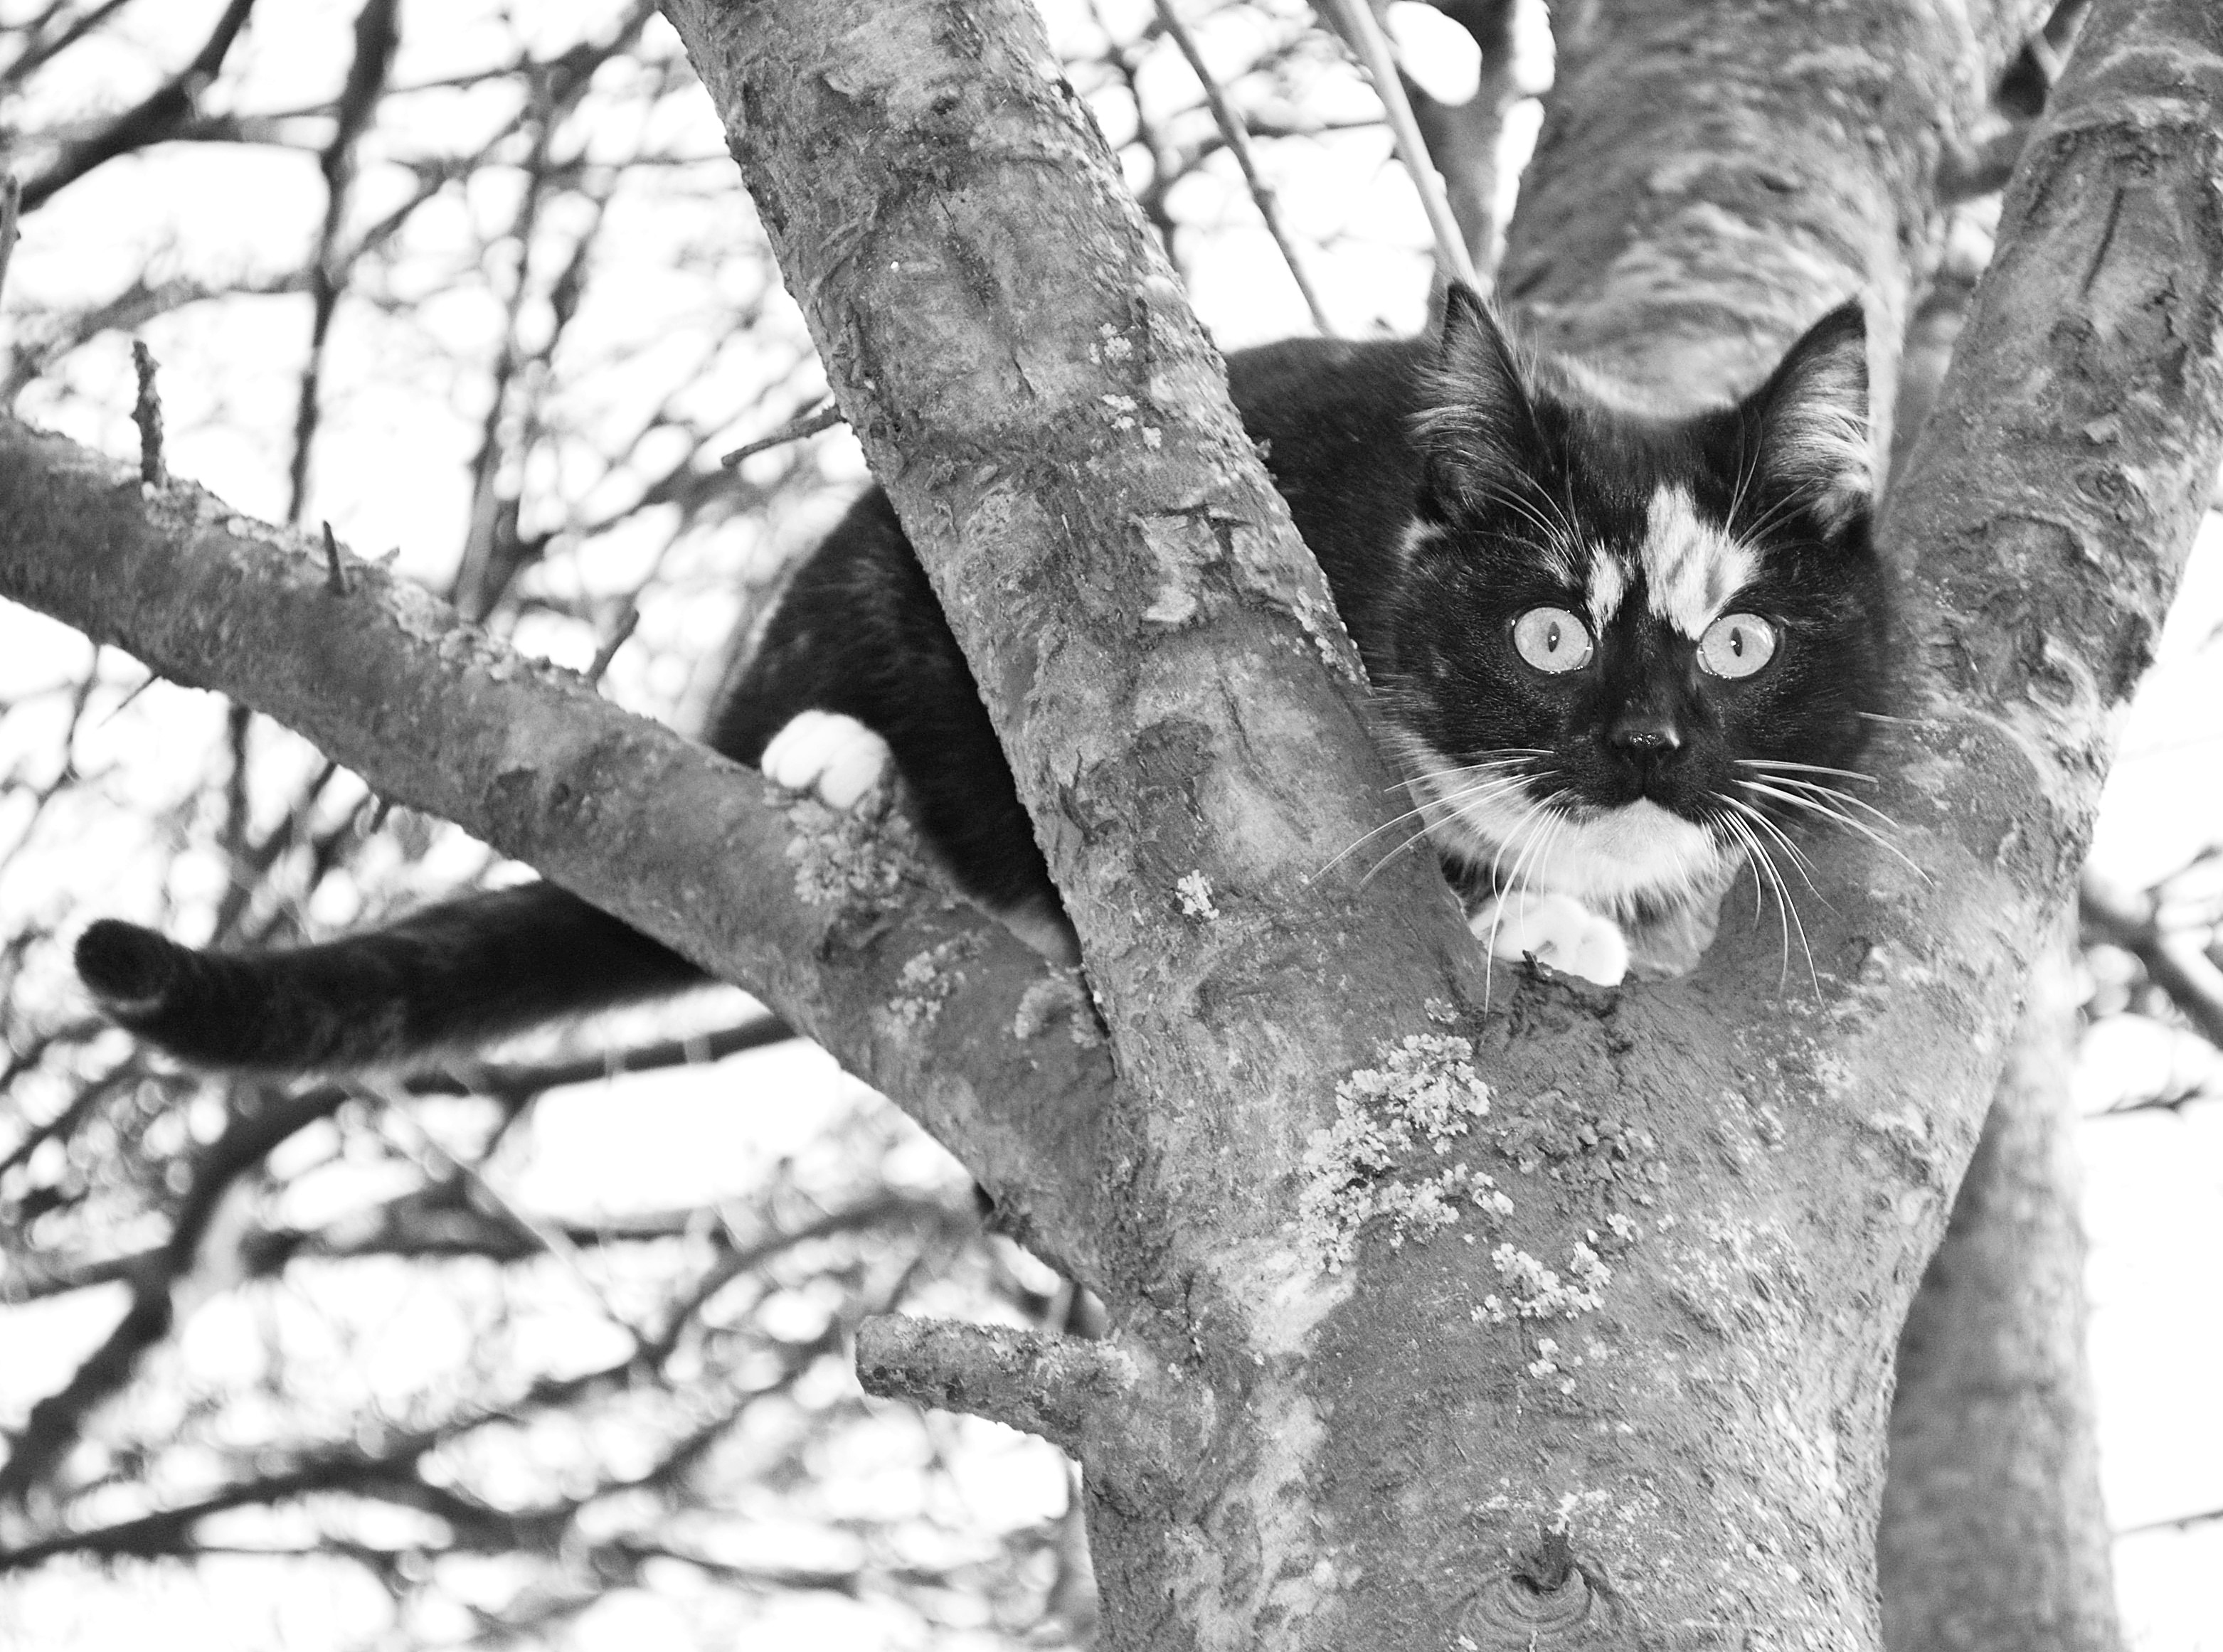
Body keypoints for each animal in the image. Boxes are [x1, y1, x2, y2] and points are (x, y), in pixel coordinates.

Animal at [78, 287, 1885, 1080]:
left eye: (1739, 641)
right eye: (1547, 635)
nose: (1643, 742)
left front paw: (1580, 914)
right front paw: (1530, 910)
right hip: (877, 569)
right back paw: (821, 766)